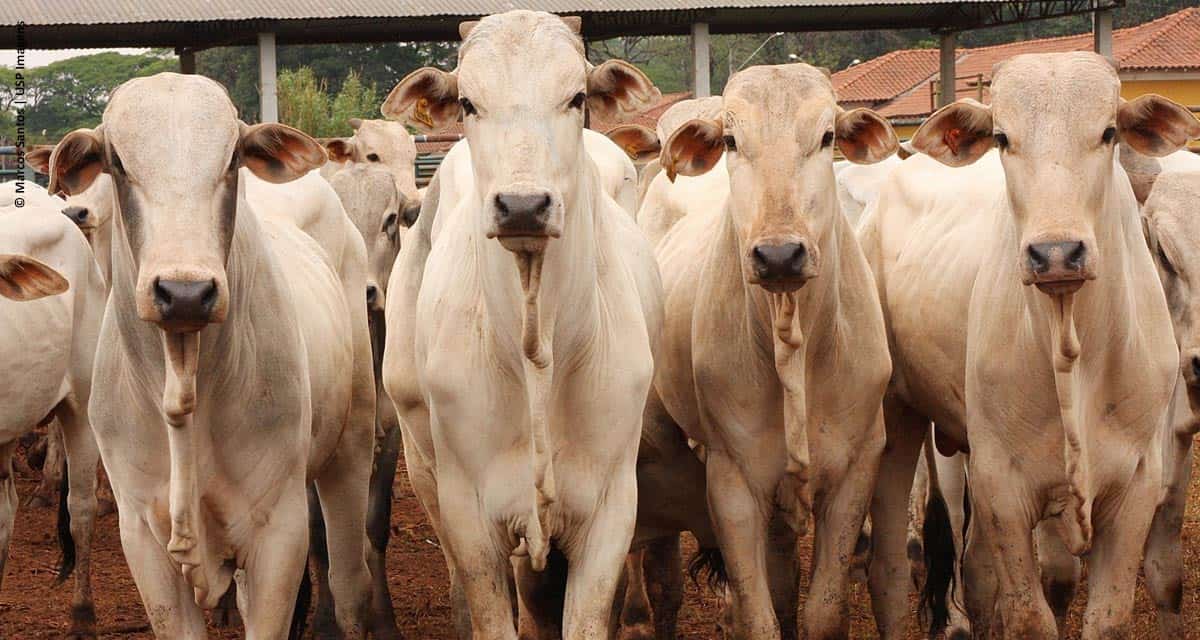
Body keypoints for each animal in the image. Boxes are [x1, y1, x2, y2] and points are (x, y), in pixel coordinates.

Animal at [46, 72, 376, 633]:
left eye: (230, 159)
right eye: (118, 162)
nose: (184, 293)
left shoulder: (279, 531)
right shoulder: (142, 536)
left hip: (351, 448)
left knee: (351, 585)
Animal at [384, 11, 667, 638]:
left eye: (577, 97)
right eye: (468, 102)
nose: (521, 206)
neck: (537, 350)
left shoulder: (611, 509)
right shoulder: (470, 515)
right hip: (421, 455)